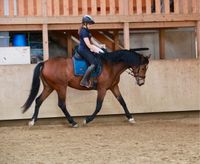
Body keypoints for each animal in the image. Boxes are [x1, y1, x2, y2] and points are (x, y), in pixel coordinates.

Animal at [22, 49, 150, 127]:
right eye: (144, 67)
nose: (142, 82)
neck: (111, 65)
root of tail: (44, 63)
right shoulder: (102, 89)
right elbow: (98, 106)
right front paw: (87, 120)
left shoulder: (114, 87)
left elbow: (122, 102)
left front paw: (130, 118)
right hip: (61, 87)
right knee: (61, 104)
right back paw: (73, 122)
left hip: (49, 87)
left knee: (38, 100)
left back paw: (32, 121)